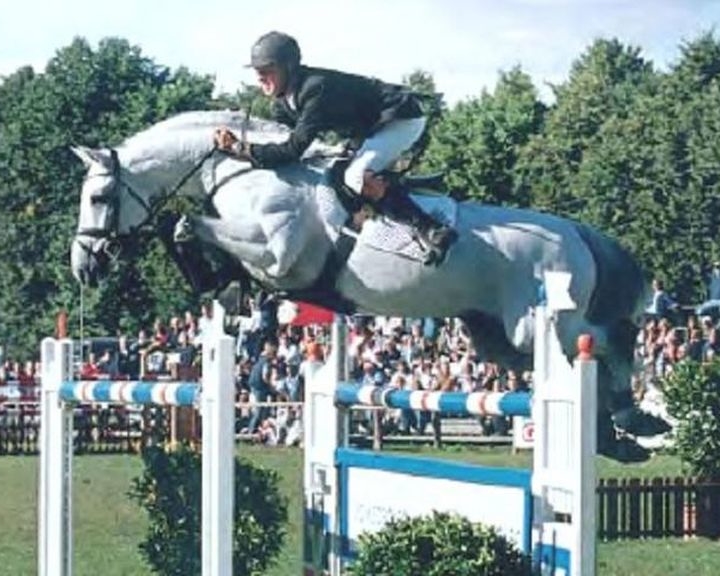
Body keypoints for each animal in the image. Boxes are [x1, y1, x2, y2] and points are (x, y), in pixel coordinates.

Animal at [69, 110, 666, 459]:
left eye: (99, 197)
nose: (84, 266)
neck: (245, 171)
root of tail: (576, 232)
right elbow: (197, 242)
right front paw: (226, 294)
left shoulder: (279, 257)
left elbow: (190, 225)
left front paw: (227, 289)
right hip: (495, 337)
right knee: (587, 356)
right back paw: (622, 434)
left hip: (542, 322)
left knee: (606, 341)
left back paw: (631, 417)